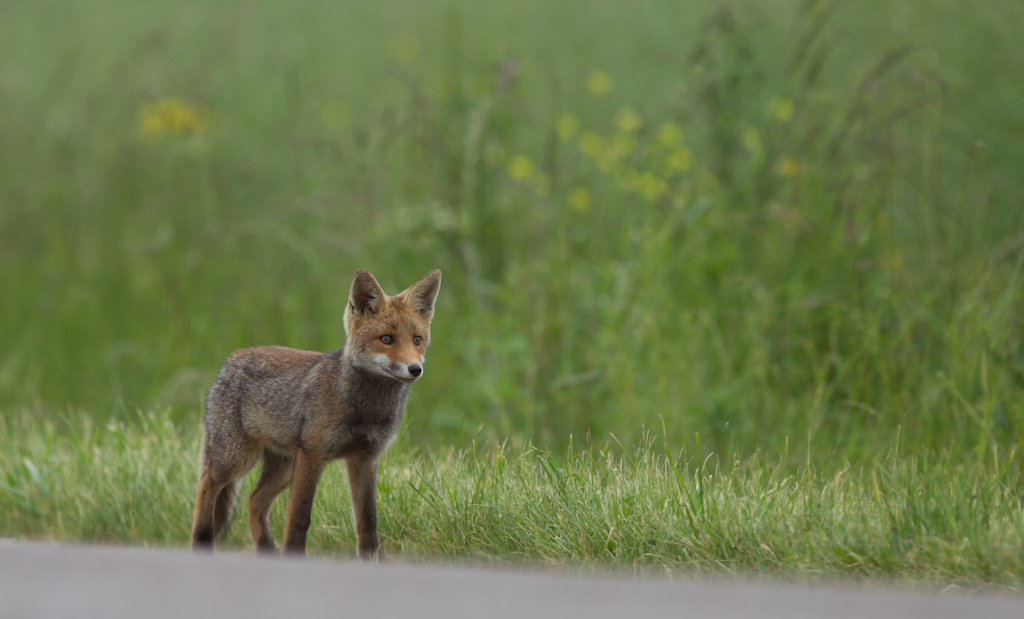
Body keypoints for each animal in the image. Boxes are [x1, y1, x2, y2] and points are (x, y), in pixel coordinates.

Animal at [192, 268, 440, 557]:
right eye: (386, 339)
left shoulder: (365, 459)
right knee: (205, 486)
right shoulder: (313, 455)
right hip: (235, 460)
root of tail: (232, 359)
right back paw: (201, 541)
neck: (365, 410)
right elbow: (298, 519)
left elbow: (367, 524)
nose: (415, 369)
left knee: (254, 503)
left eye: (417, 340)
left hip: (283, 468)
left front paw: (370, 560)